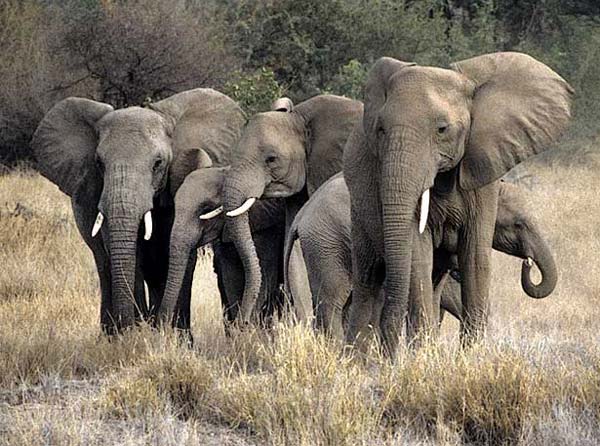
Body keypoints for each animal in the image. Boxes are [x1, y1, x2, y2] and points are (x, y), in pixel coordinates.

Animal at [29, 89, 246, 332]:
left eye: (158, 163)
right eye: (99, 163)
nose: (145, 323)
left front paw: (169, 335)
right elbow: (128, 254)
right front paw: (134, 333)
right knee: (104, 264)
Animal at [342, 51, 572, 352]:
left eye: (442, 129)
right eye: (380, 130)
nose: (528, 264)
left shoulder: (482, 170)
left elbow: (475, 256)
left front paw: (469, 354)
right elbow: (417, 255)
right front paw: (421, 357)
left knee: (432, 280)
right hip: (357, 210)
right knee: (369, 281)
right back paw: (357, 357)